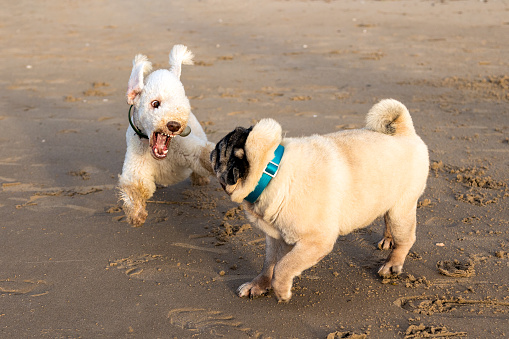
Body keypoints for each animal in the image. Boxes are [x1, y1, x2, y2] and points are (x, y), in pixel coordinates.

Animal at [118, 44, 213, 226]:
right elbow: (135, 187)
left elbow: (206, 155)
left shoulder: (192, 151)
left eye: (181, 105)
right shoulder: (137, 166)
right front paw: (136, 216)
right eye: (155, 103)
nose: (174, 125)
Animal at [210, 99, 428, 302]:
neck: (271, 170)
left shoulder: (316, 242)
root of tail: (404, 132)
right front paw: (258, 285)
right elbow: (269, 264)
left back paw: (392, 265)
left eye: (220, 149)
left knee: (406, 239)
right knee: (387, 219)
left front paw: (281, 291)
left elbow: (283, 266)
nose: (211, 151)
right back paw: (388, 239)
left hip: (401, 210)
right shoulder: (275, 237)